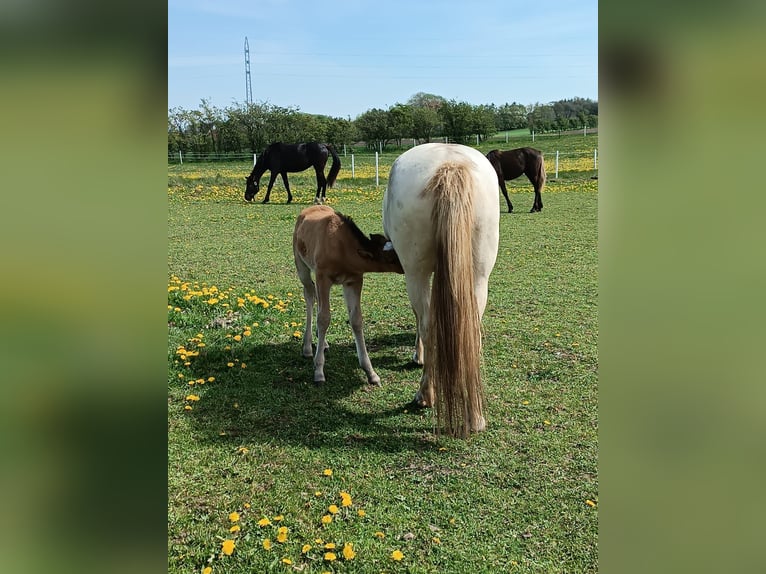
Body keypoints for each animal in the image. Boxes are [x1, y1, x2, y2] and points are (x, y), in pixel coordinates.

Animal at [382, 142, 500, 438]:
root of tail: (450, 166)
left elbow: (420, 318)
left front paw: (418, 355)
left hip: (416, 273)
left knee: (427, 323)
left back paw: (425, 394)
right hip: (478, 276)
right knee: (470, 332)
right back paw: (475, 417)